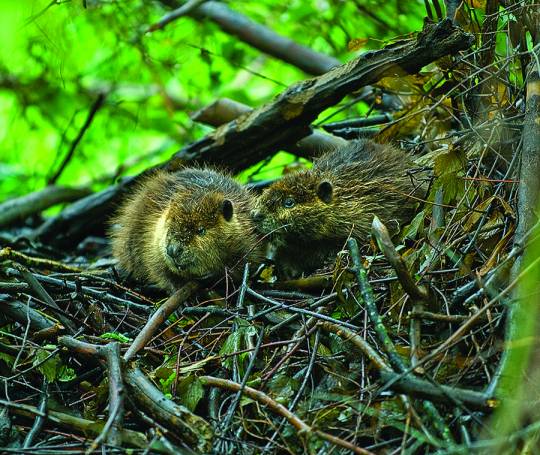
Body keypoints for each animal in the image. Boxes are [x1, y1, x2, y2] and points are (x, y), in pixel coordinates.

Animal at [109, 168, 264, 292]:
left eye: (200, 230)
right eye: (170, 226)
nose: (173, 250)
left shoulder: (248, 239)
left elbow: (243, 265)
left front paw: (212, 274)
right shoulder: (151, 238)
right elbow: (159, 269)